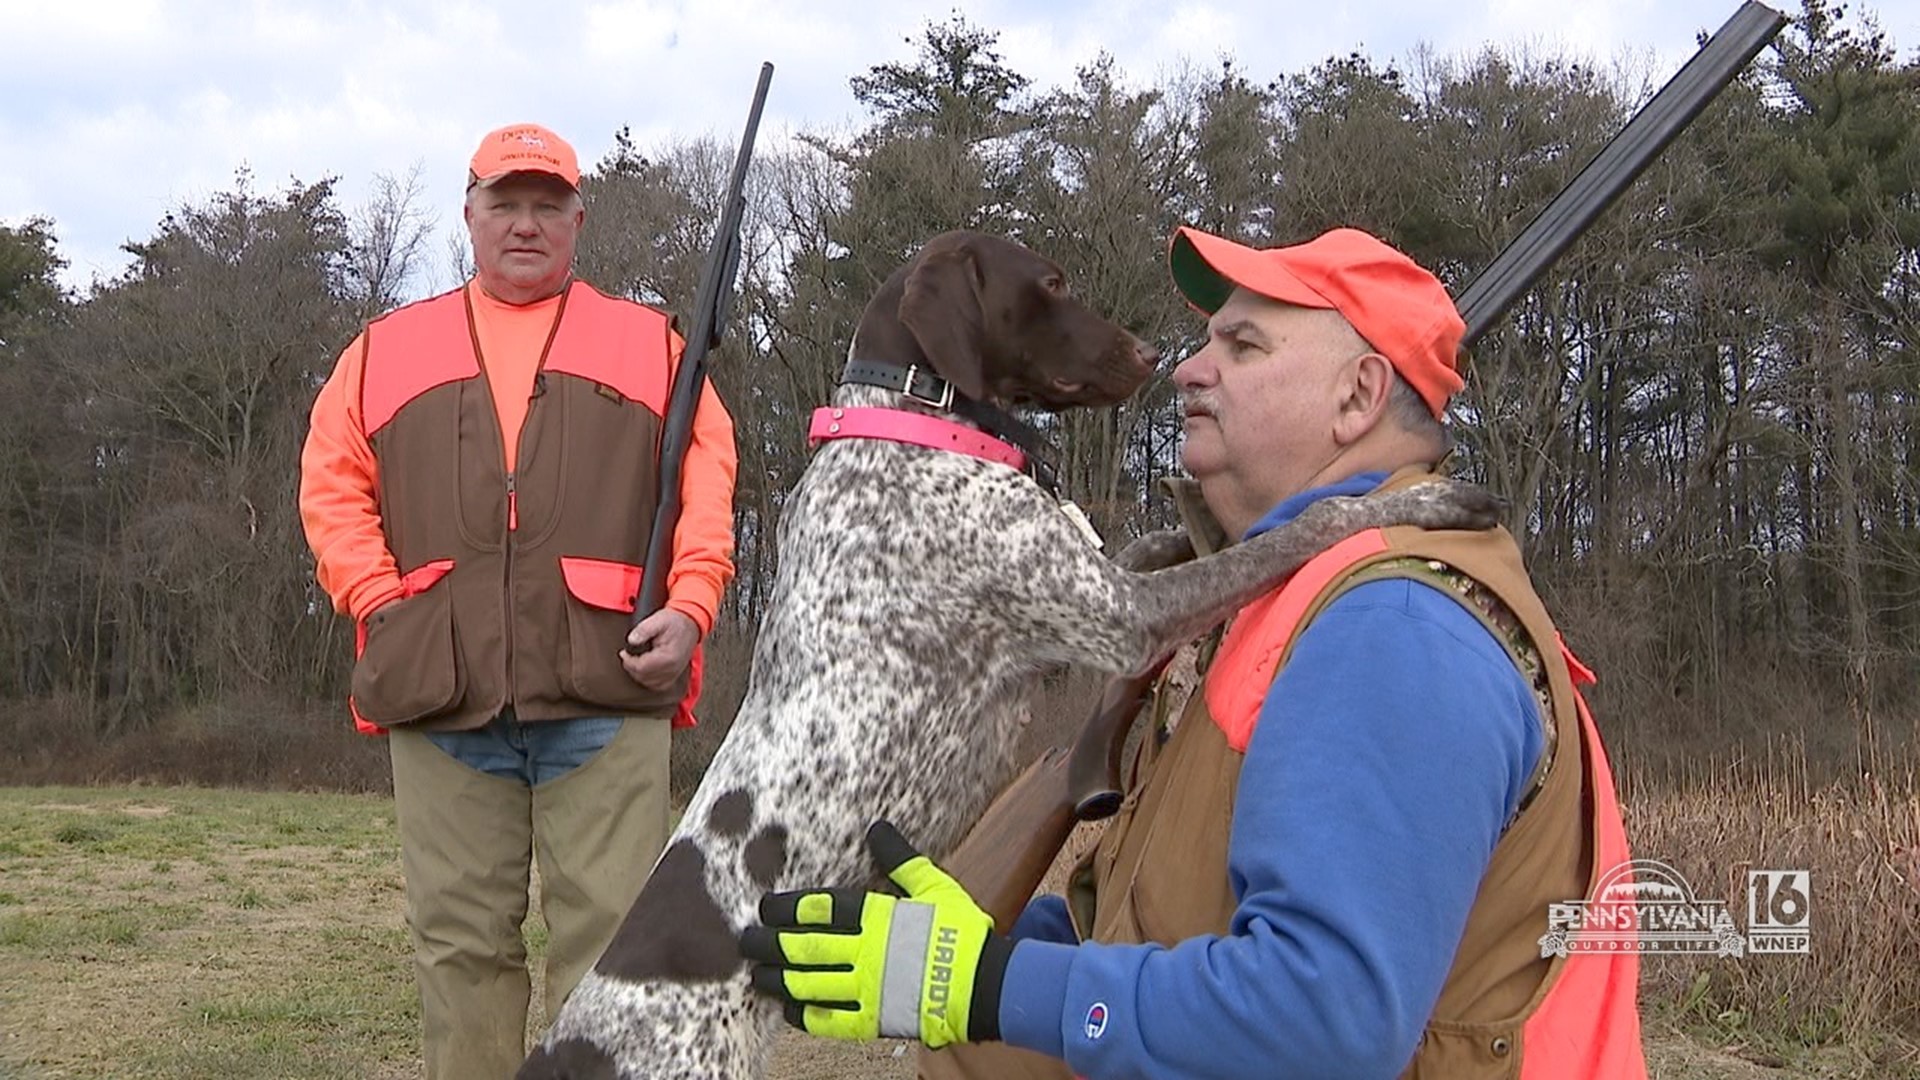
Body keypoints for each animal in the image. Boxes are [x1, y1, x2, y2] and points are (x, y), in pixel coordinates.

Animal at [522, 231, 1497, 1068]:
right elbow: (1300, 528)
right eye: (1053, 281)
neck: (913, 422)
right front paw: (1423, 501)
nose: (1156, 354)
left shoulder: (1098, 586)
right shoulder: (1126, 619)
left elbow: (1154, 542)